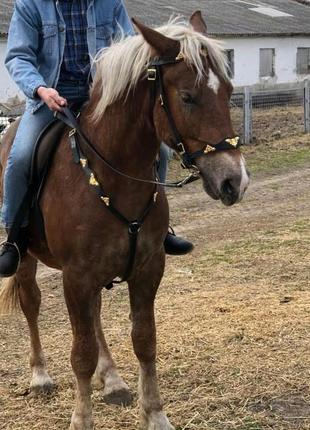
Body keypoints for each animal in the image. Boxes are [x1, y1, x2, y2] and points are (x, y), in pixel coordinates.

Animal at [0, 11, 248, 428]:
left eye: (229, 92)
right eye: (187, 97)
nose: (234, 181)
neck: (113, 174)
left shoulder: (147, 267)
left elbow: (144, 341)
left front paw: (155, 414)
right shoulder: (76, 276)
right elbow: (80, 354)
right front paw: (81, 419)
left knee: (96, 314)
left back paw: (113, 379)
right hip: (28, 258)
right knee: (31, 302)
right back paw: (40, 376)